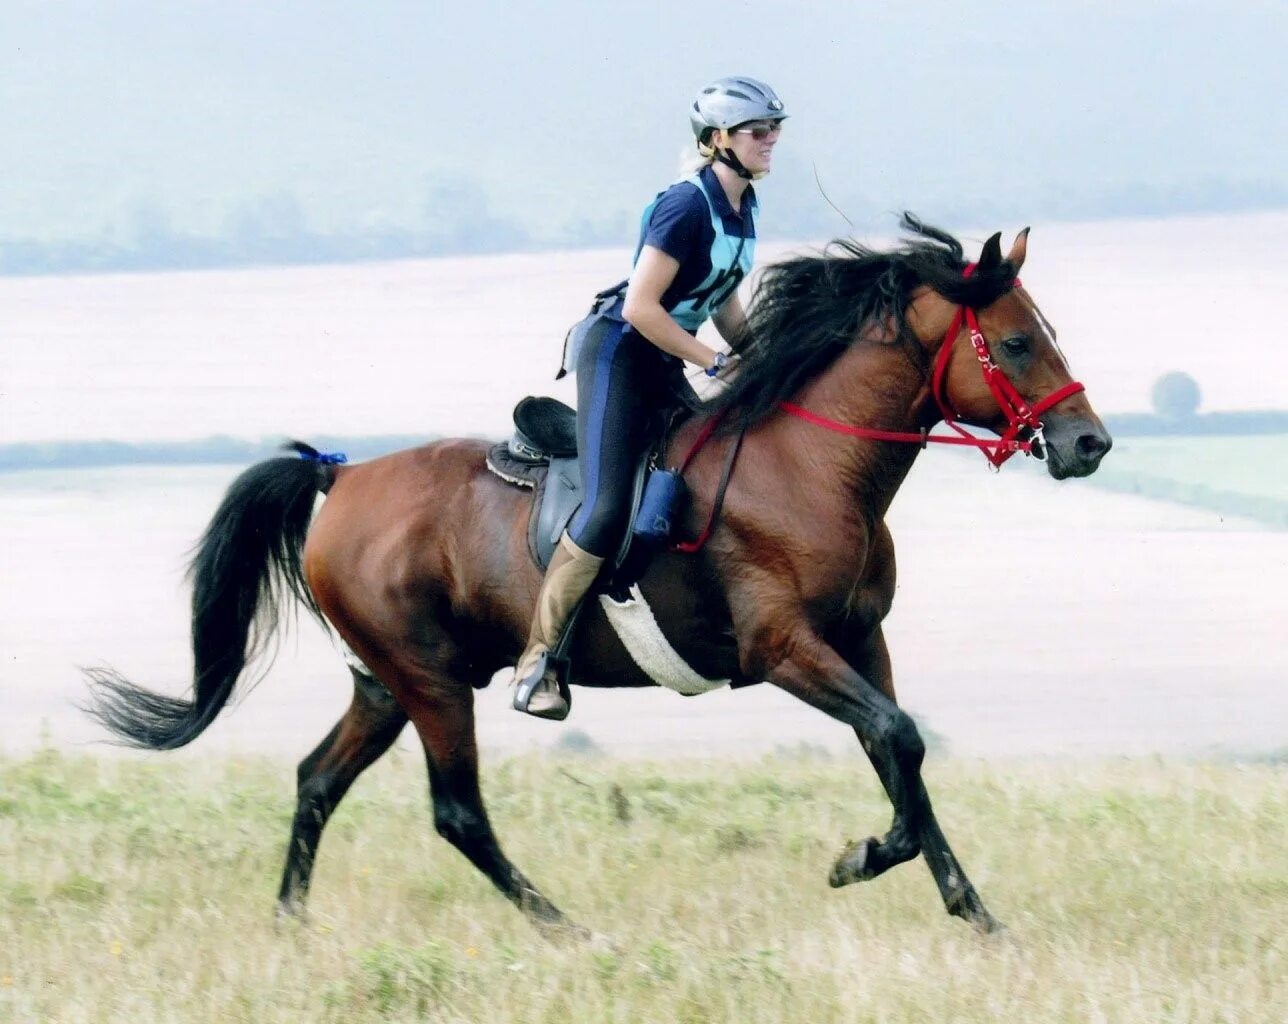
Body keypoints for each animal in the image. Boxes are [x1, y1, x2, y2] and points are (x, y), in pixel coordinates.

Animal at [83, 216, 1107, 937]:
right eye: (1018, 343)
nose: (1088, 443)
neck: (814, 468)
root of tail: (342, 476)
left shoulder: (861, 640)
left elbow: (900, 753)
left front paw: (969, 908)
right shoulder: (783, 648)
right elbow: (897, 741)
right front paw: (862, 861)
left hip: (384, 683)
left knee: (315, 782)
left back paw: (292, 921)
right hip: (431, 683)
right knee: (457, 813)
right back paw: (565, 927)